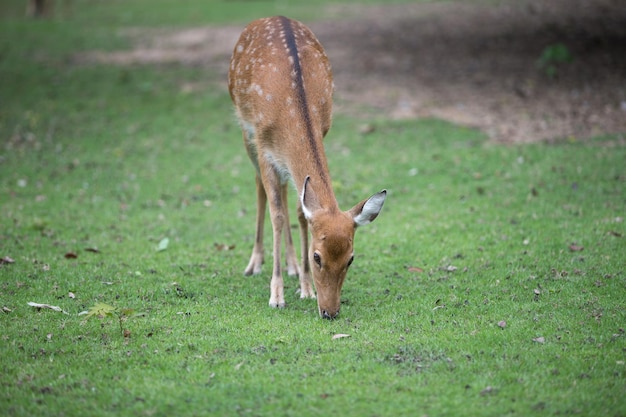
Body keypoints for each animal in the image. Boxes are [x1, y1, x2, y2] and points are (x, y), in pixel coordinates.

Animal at [228, 14, 386, 316]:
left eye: (350, 258)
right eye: (317, 257)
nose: (330, 312)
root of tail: (271, 17)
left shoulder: (320, 133)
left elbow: (302, 213)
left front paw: (305, 288)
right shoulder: (264, 147)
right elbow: (277, 215)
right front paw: (277, 296)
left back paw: (291, 265)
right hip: (244, 129)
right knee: (259, 187)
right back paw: (254, 263)